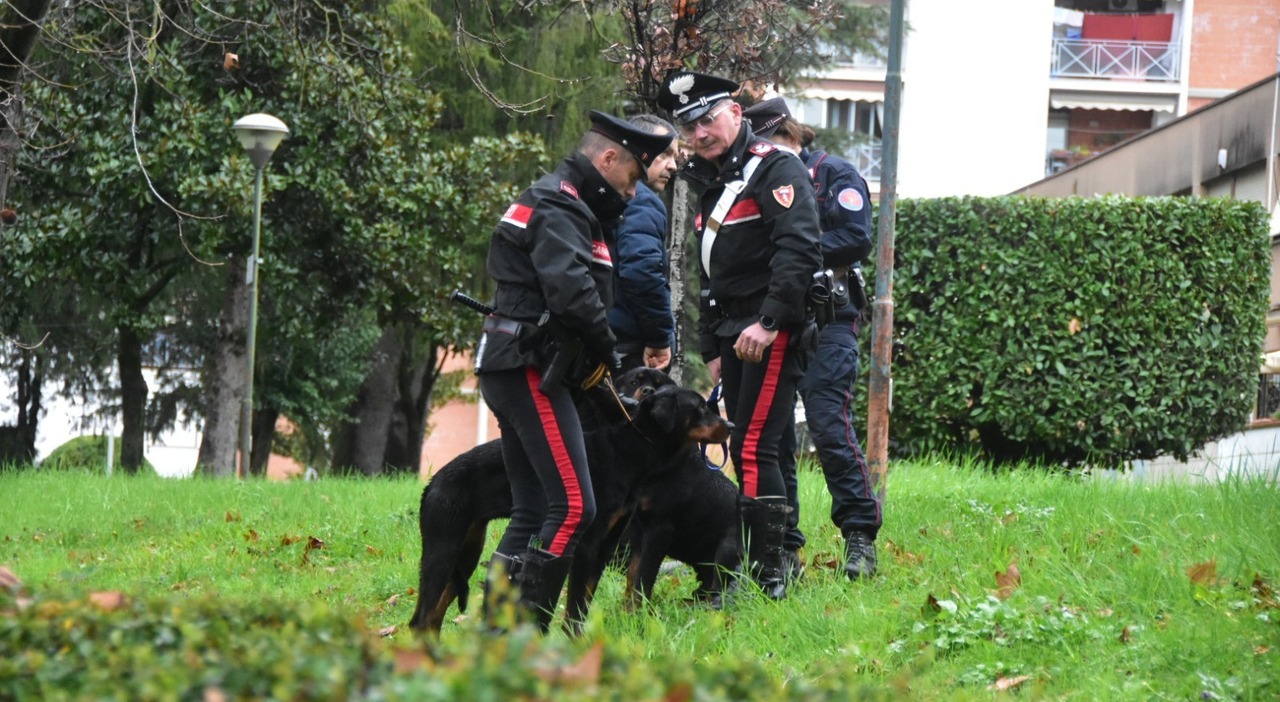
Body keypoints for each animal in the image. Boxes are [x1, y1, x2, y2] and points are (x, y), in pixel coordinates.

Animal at [409, 374, 732, 635]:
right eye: (700, 408)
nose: (730, 424)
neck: (627, 451)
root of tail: (432, 482)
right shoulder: (587, 544)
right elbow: (577, 601)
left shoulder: (607, 544)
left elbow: (600, 593)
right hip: (442, 548)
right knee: (421, 618)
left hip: (466, 553)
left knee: (432, 617)